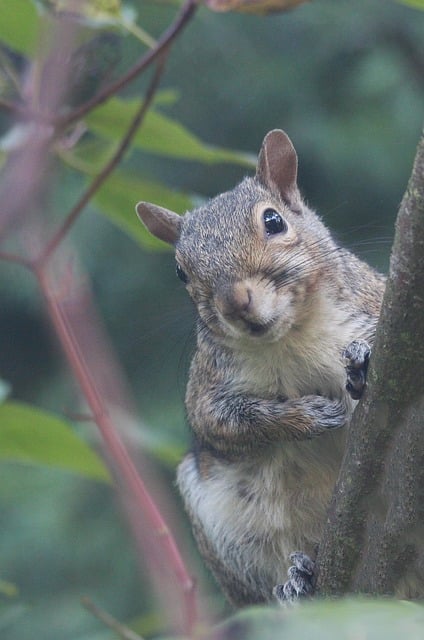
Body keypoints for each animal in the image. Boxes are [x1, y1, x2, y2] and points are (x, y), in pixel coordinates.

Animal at [136, 130, 385, 606]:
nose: (236, 301)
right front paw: (307, 416)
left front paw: (362, 359)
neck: (289, 337)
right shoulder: (209, 389)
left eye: (274, 221)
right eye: (180, 271)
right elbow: (230, 423)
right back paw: (298, 583)